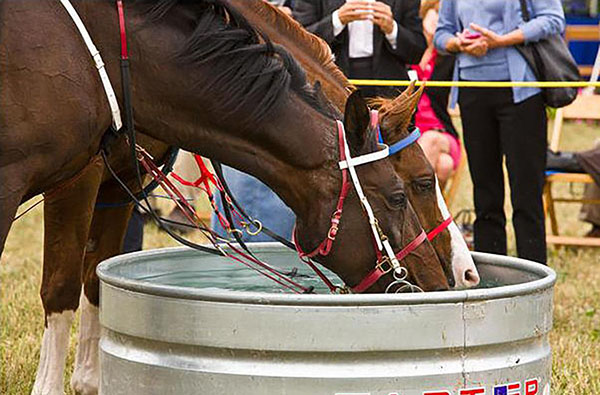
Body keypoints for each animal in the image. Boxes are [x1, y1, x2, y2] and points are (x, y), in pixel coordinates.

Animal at [1, 1, 450, 394]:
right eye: (409, 189)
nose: (443, 281)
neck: (108, 57)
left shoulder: (118, 185)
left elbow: (94, 278)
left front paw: (88, 380)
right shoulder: (69, 182)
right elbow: (61, 286)